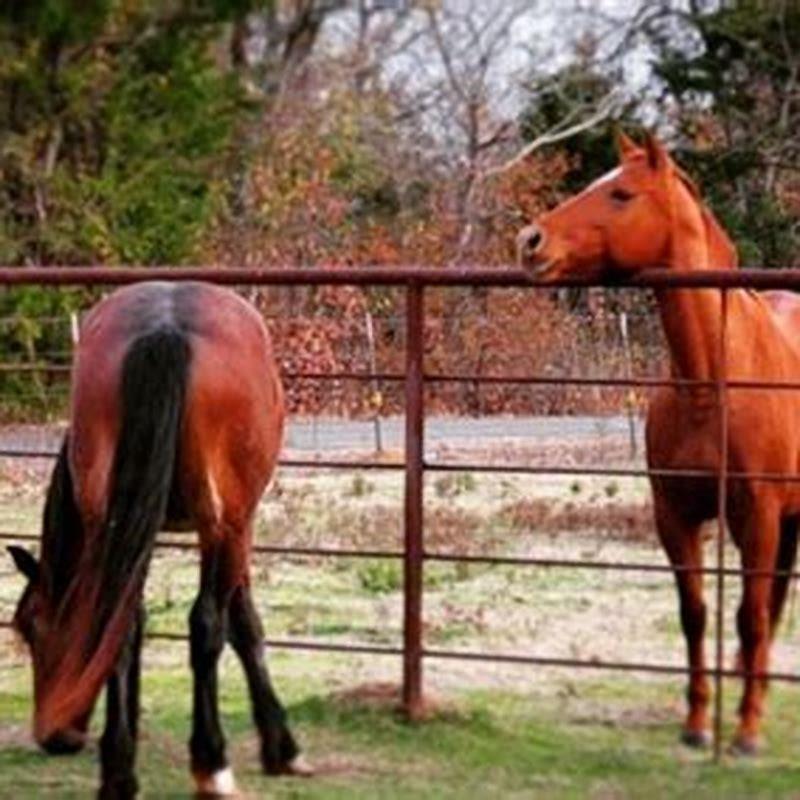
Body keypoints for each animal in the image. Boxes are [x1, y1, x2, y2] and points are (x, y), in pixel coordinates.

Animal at [8, 281, 310, 798]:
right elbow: (243, 625)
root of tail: (164, 329)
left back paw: (119, 772)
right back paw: (211, 765)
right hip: (221, 526)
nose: (55, 738)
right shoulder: (239, 528)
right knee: (205, 624)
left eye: (30, 625)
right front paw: (281, 746)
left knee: (118, 620)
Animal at [516, 132, 800, 755]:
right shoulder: (674, 514)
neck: (711, 382)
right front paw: (697, 724)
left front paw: (745, 732)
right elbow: (695, 614)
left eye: (622, 193)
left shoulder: (758, 517)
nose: (529, 241)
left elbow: (750, 617)